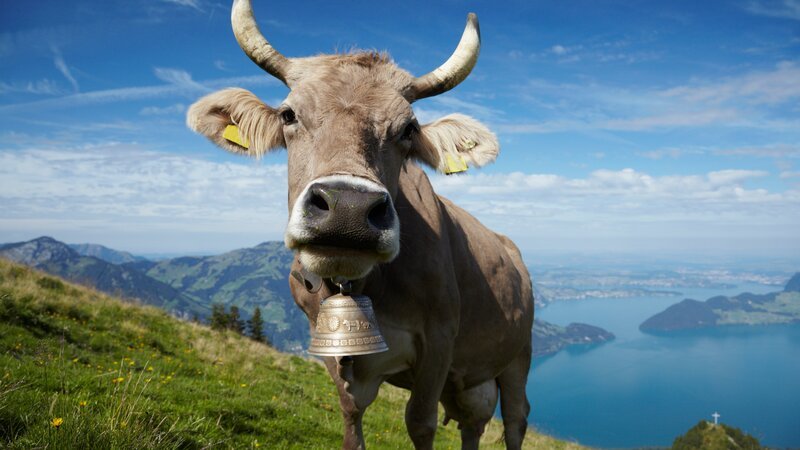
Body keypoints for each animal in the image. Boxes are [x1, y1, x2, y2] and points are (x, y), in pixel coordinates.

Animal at [187, 1, 534, 448]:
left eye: (409, 129)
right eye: (288, 114)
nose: (348, 209)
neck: (364, 284)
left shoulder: (441, 340)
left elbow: (421, 422)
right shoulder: (330, 344)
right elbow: (351, 413)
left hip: (519, 355)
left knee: (515, 419)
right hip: (470, 381)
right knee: (473, 422)